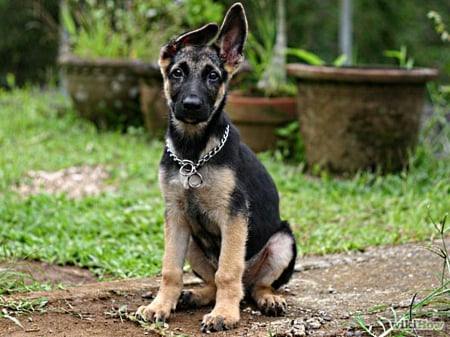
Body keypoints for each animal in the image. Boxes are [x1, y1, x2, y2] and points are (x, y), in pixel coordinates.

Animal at [137, 1, 298, 330]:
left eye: (212, 76)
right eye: (177, 73)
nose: (191, 105)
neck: (193, 154)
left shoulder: (234, 215)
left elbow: (228, 270)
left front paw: (224, 313)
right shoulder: (175, 215)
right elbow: (170, 269)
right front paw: (160, 305)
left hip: (283, 241)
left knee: (257, 285)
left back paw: (267, 299)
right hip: (194, 244)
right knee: (212, 282)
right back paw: (195, 296)